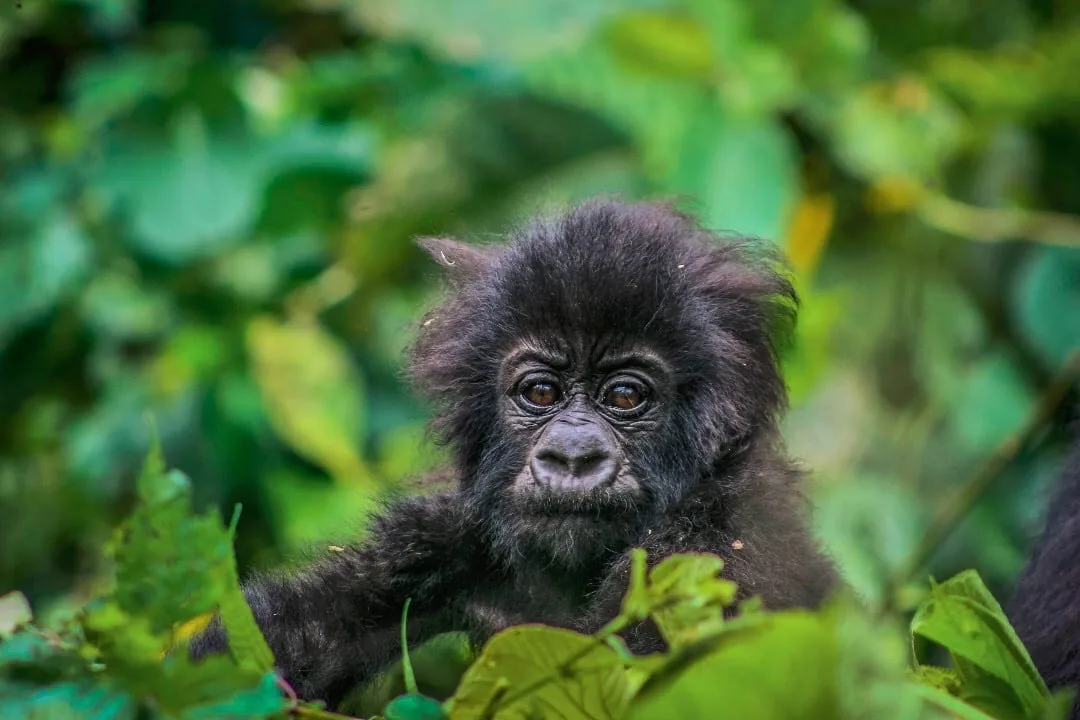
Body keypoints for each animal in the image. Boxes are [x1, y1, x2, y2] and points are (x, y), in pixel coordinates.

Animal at [188, 198, 837, 708]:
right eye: (541, 392)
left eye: (625, 395)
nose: (573, 457)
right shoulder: (441, 536)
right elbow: (265, 647)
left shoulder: (713, 550)